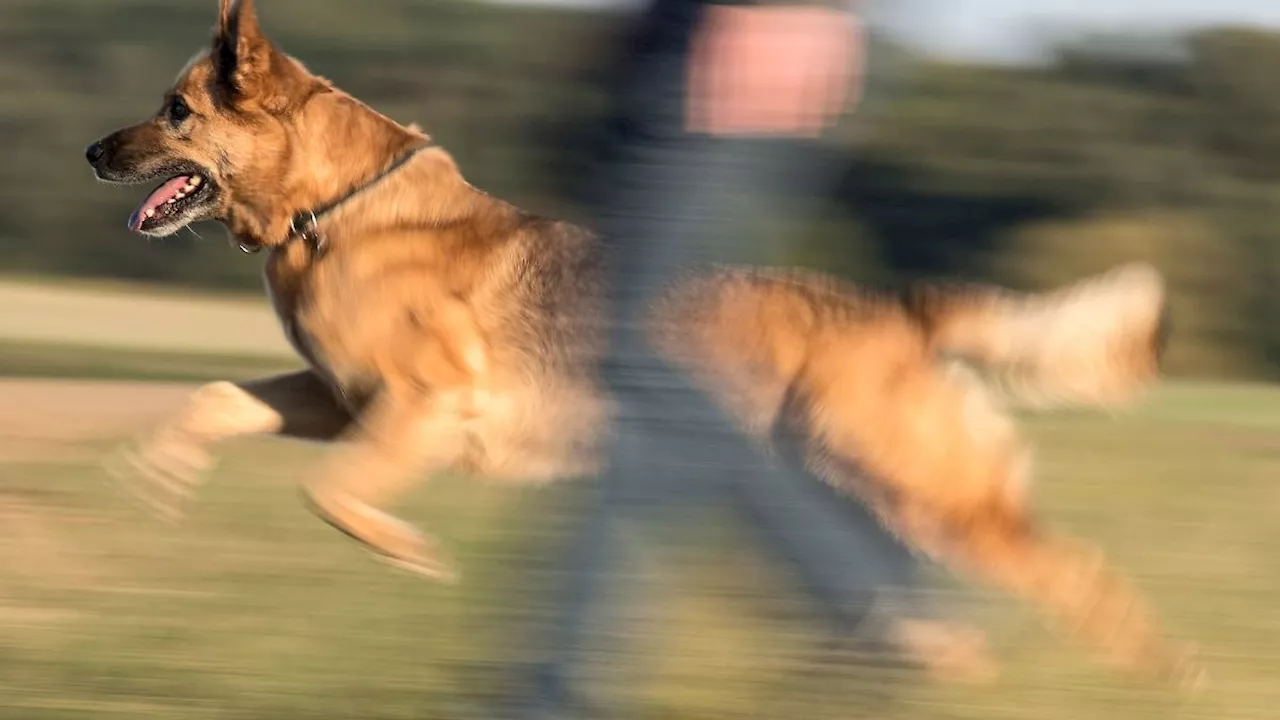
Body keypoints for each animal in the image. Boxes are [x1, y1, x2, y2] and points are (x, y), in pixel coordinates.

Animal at [87, 0, 1198, 681]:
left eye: (174, 112)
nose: (94, 152)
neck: (335, 208)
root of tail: (901, 310)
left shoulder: (420, 409)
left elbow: (331, 495)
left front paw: (411, 554)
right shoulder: (336, 398)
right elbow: (216, 401)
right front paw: (158, 480)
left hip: (928, 490)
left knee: (1078, 577)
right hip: (844, 480)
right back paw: (932, 654)